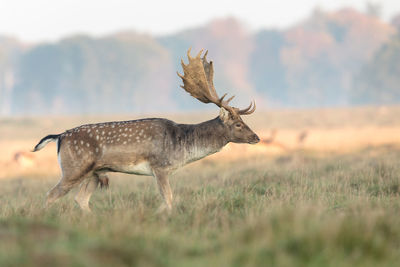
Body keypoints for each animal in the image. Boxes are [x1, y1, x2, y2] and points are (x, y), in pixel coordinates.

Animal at [33, 49, 260, 214]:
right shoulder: (160, 167)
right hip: (73, 168)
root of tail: (59, 136)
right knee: (50, 195)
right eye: (237, 124)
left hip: (94, 173)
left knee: (80, 199)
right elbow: (168, 198)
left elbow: (167, 199)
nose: (256, 137)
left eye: (243, 120)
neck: (182, 145)